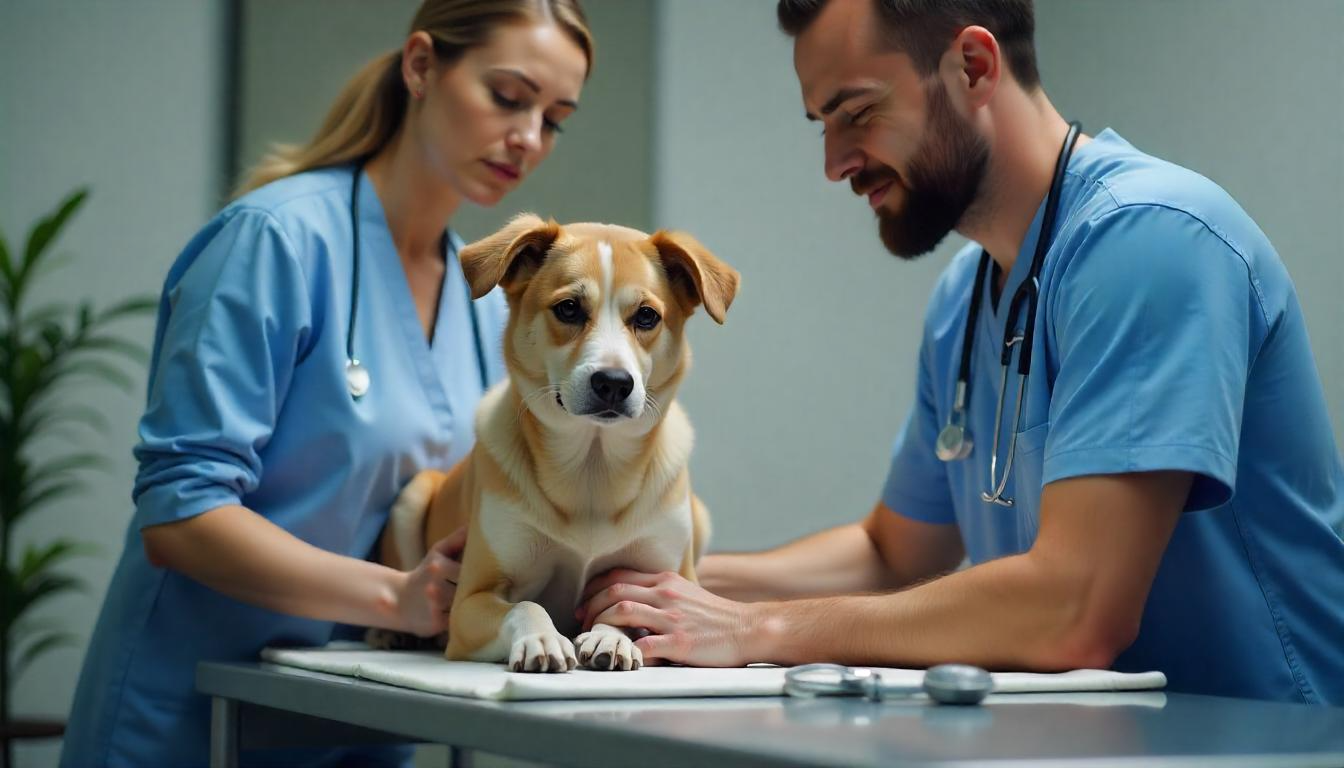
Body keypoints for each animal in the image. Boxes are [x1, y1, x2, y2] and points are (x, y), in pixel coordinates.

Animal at [376, 215, 736, 672]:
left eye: (646, 316)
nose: (613, 383)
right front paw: (542, 639)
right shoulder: (468, 602)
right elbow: (524, 605)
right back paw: (389, 632)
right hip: (412, 497)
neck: (592, 468)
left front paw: (611, 638)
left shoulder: (668, 580)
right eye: (568, 308)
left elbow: (623, 608)